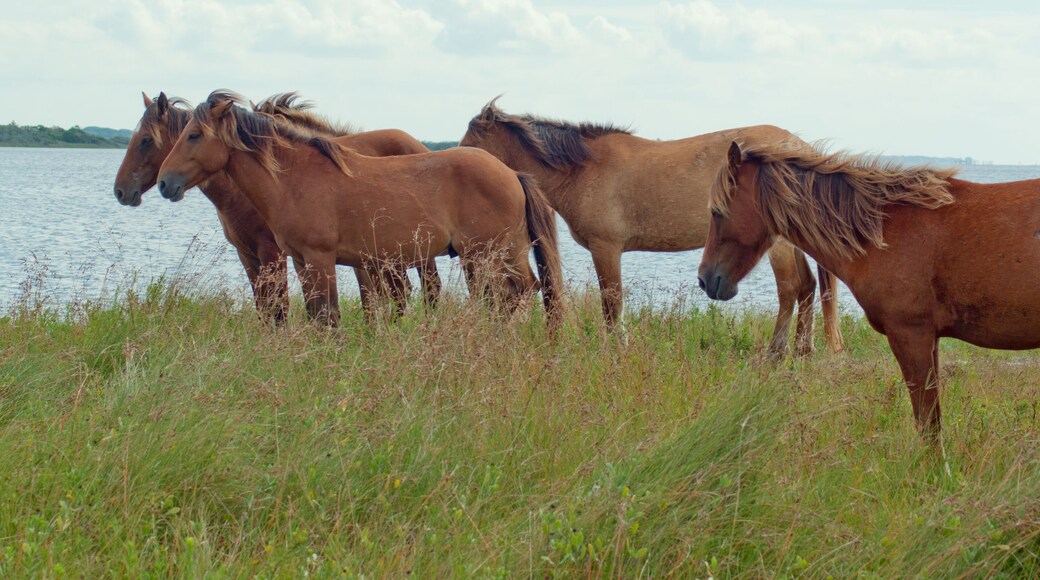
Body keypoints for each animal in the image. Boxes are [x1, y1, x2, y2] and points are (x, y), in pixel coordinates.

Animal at [113, 92, 440, 322]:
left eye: (145, 140)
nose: (120, 191)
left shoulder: (273, 254)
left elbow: (279, 307)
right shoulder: (247, 254)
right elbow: (265, 307)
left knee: (425, 290)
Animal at [156, 91, 563, 332]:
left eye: (194, 135)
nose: (164, 183)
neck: (294, 177)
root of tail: (511, 174)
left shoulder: (320, 259)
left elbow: (329, 316)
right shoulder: (301, 261)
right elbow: (316, 315)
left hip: (489, 253)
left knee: (514, 292)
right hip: (497, 254)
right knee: (518, 291)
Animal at [460, 98, 843, 356]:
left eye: (471, 140)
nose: (457, 157)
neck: (581, 170)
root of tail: (800, 148)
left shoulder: (606, 247)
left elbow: (611, 303)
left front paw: (617, 350)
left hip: (778, 244)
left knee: (791, 288)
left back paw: (777, 352)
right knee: (808, 286)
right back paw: (802, 350)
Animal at [698, 140, 1040, 438]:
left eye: (717, 212)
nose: (704, 279)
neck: (883, 228)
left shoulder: (912, 336)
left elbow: (928, 425)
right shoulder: (929, 340)